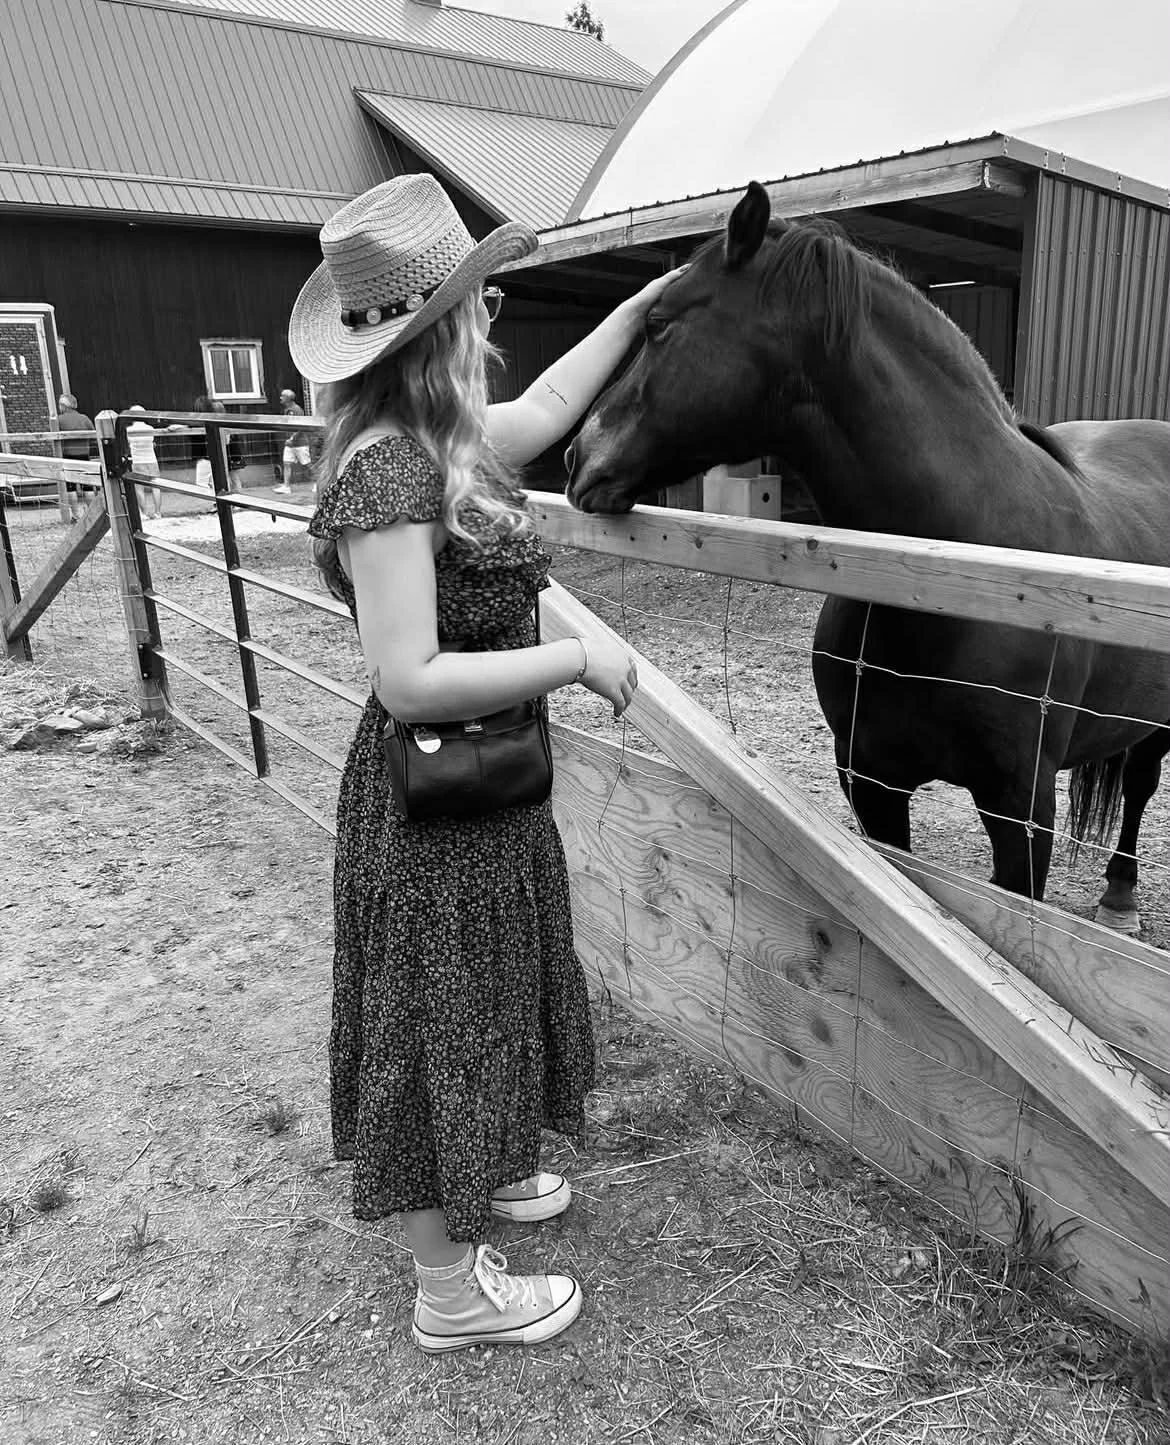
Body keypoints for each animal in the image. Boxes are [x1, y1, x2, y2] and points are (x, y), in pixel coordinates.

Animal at [565, 182, 1170, 933]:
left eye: (657, 323)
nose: (576, 457)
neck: (952, 574)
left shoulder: (1022, 806)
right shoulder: (871, 777)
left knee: (1140, 784)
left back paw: (1120, 896)